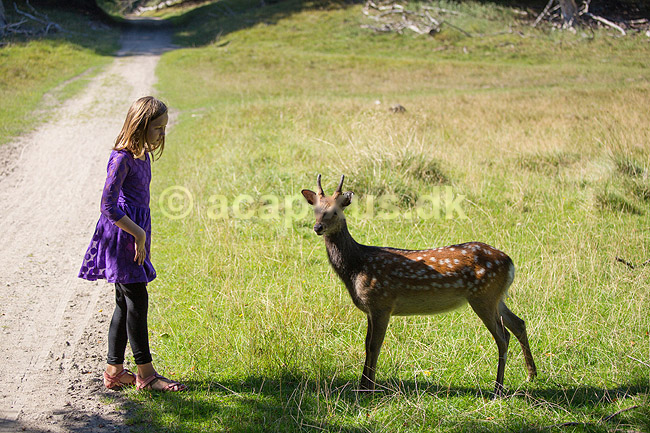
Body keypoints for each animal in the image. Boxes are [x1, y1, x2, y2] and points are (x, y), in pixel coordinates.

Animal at [301, 174, 537, 397]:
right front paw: (362, 386)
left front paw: (369, 388)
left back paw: (498, 388)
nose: (317, 227)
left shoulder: (381, 303)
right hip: (497, 296)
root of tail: (510, 262)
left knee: (502, 335)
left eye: (335, 211)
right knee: (518, 323)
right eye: (315, 209)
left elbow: (374, 346)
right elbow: (367, 344)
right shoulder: (370, 309)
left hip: (483, 296)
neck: (355, 267)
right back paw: (531, 375)